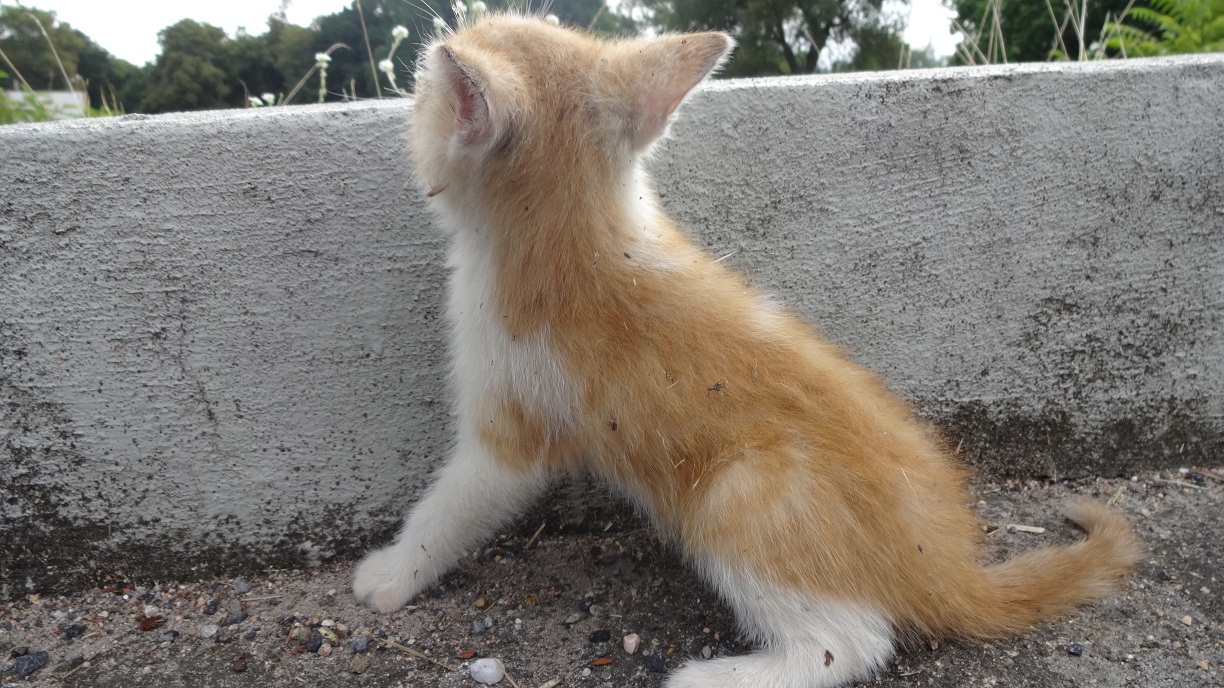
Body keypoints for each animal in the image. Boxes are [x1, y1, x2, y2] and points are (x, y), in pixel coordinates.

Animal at [353, 14, 1142, 688]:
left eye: (427, 84)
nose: (413, 88)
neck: (579, 234)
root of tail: (951, 572)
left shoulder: (510, 429)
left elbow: (451, 507)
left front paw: (390, 574)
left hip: (742, 494)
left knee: (852, 643)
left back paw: (717, 675)